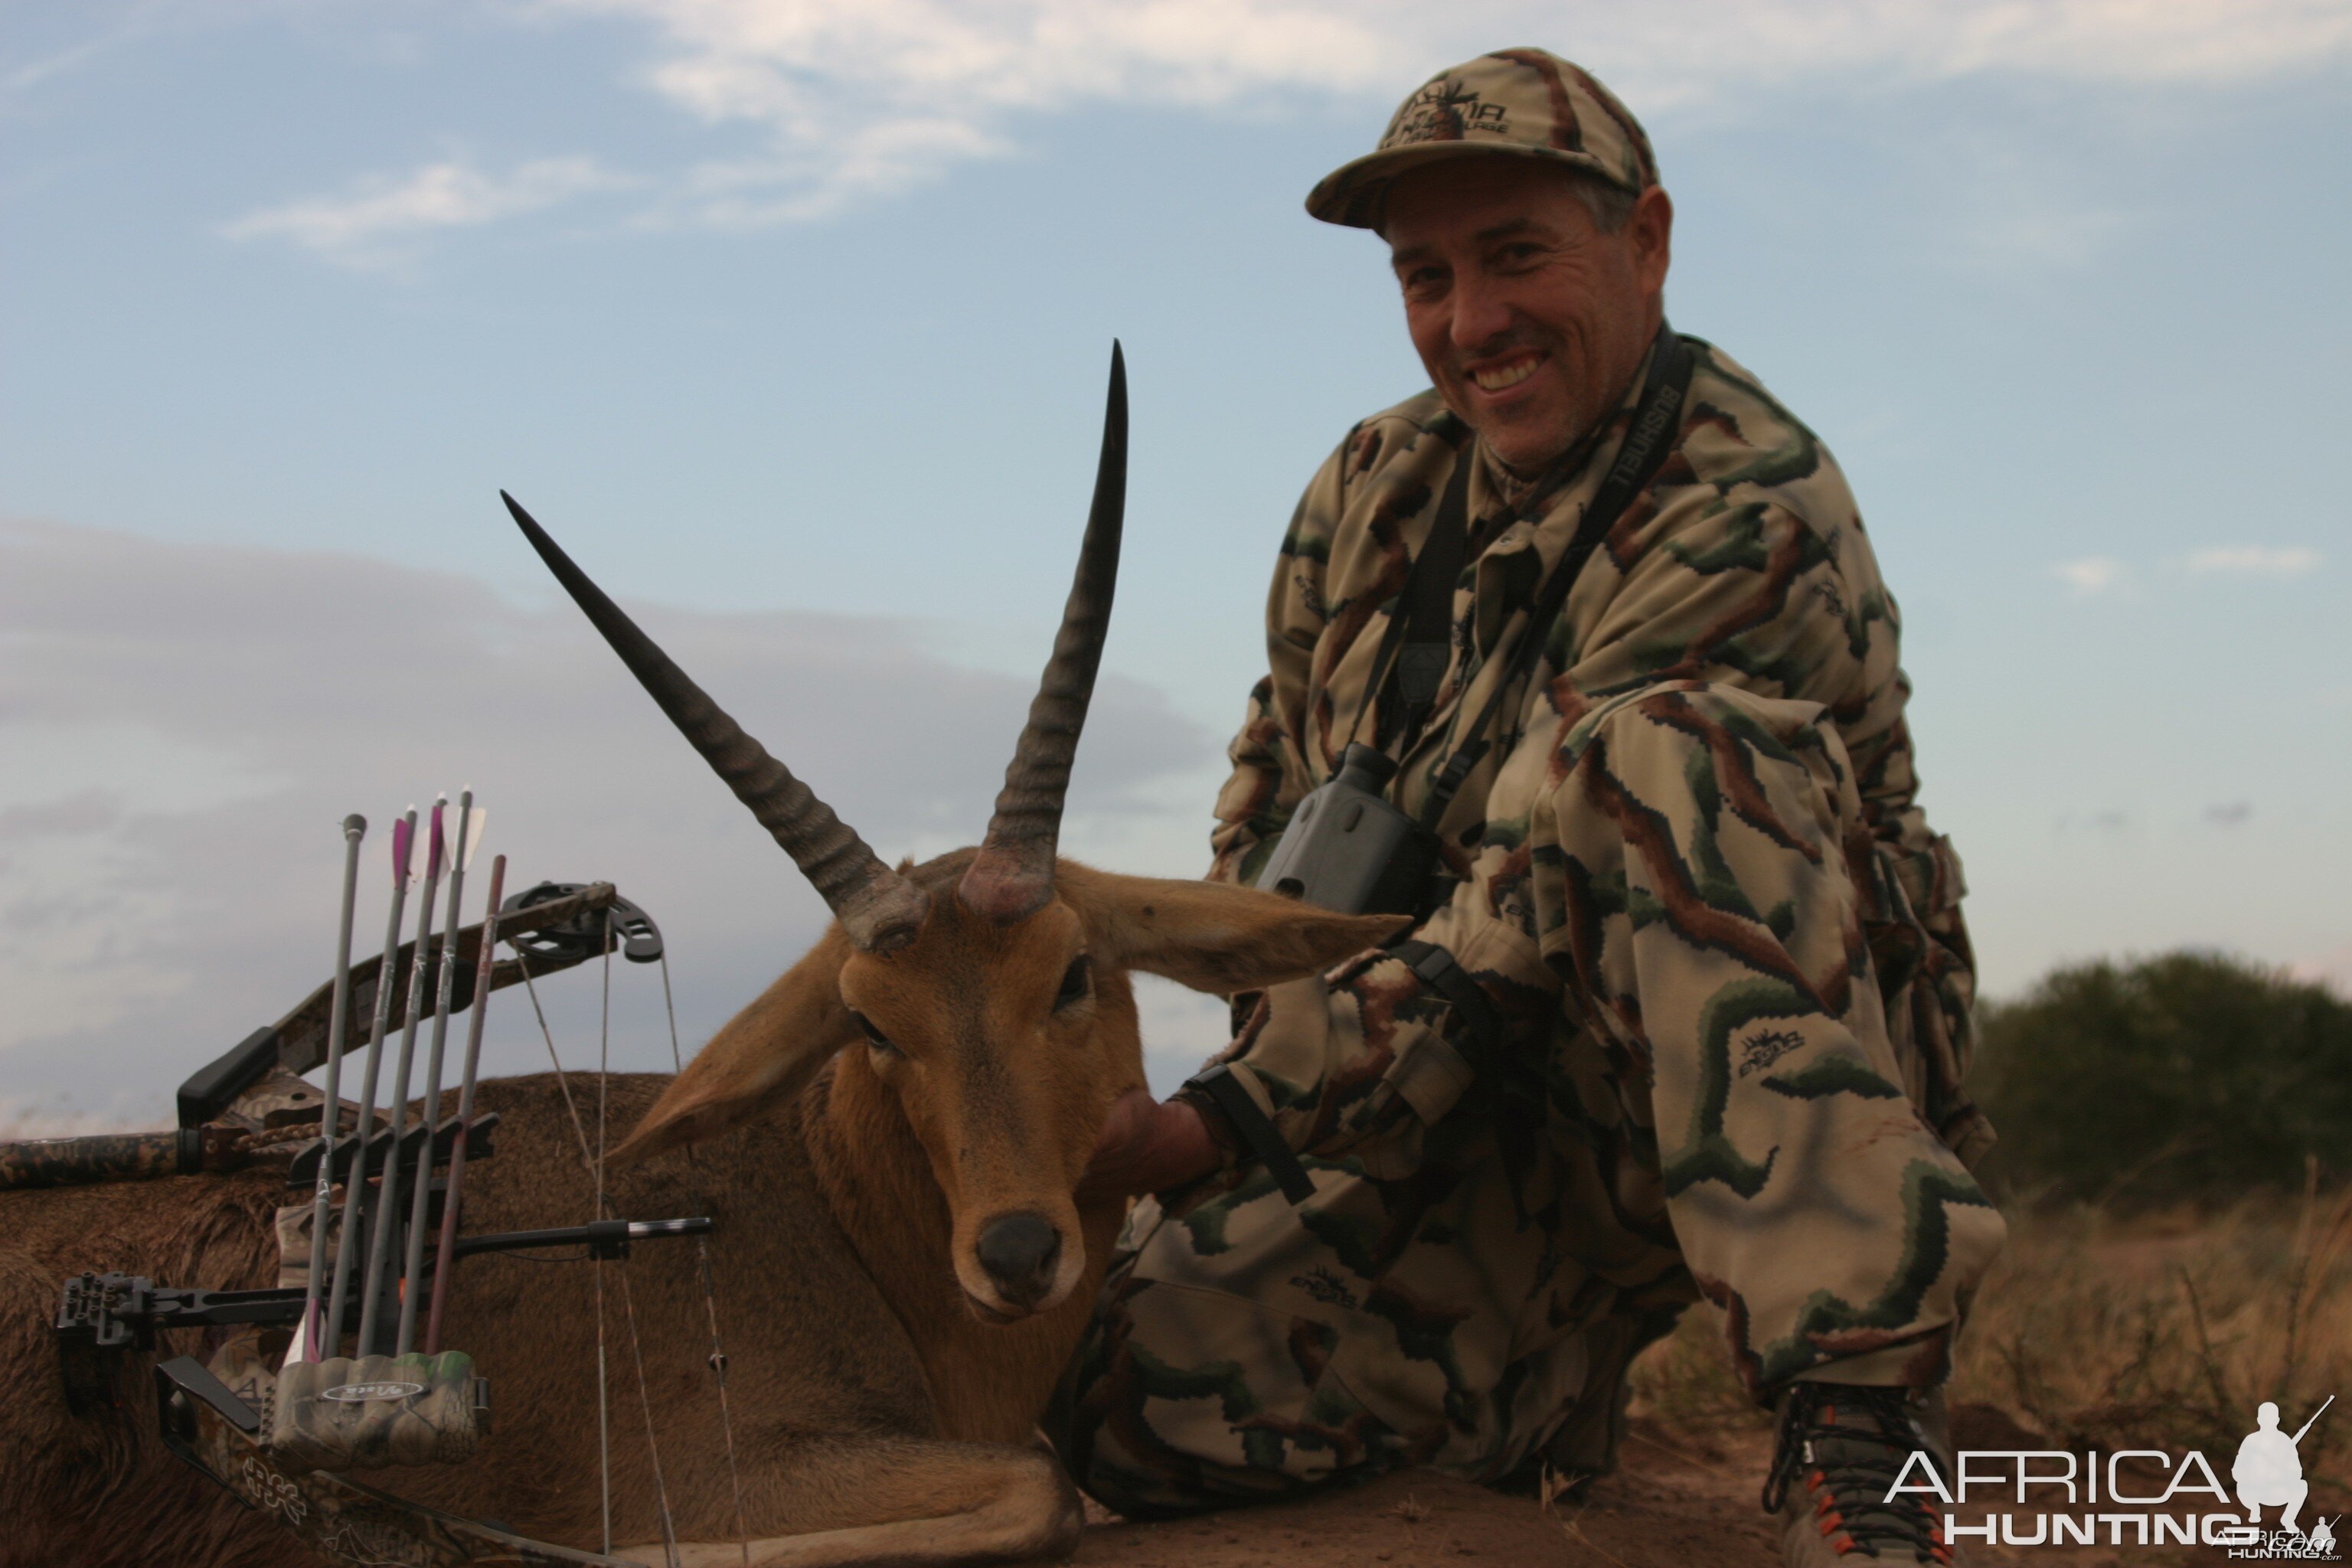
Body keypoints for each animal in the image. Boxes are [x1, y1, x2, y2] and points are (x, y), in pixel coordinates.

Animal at [0, 354, 1392, 1568]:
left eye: (1068, 974)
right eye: (871, 1023)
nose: (1013, 1255)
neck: (819, 1204)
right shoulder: (748, 1463)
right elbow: (1032, 1489)